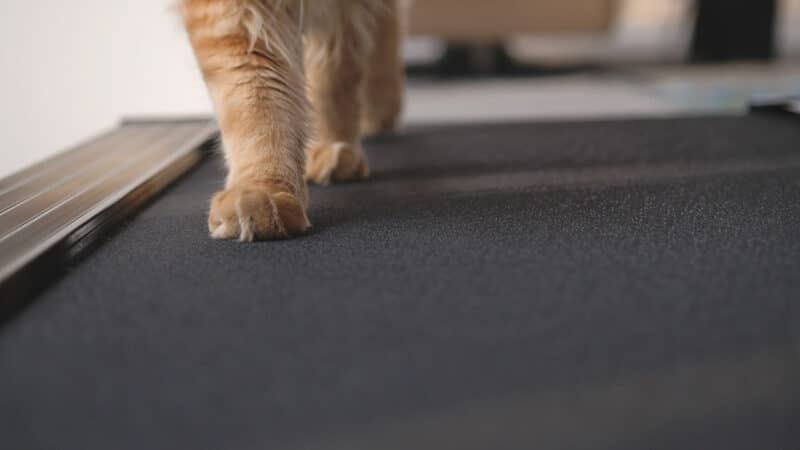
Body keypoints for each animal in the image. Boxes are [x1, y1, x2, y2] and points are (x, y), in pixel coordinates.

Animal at [183, 1, 406, 241]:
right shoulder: (235, 16)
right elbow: (259, 106)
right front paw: (263, 188)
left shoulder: (340, 17)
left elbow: (332, 80)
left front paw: (326, 145)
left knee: (386, 32)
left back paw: (378, 113)